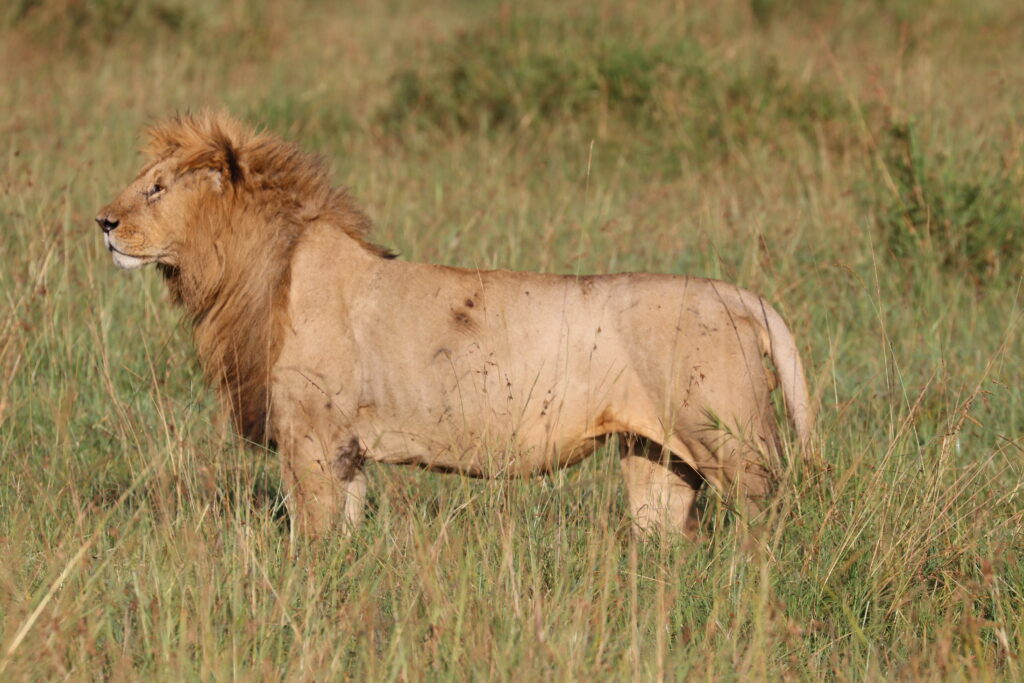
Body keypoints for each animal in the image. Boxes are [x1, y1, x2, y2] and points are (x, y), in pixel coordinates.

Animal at [97, 112, 815, 540]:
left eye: (156, 188)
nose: (102, 222)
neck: (253, 268)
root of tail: (738, 295)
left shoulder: (312, 437)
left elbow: (312, 533)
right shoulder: (348, 449)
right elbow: (346, 533)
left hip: (735, 446)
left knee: (775, 519)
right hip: (657, 457)